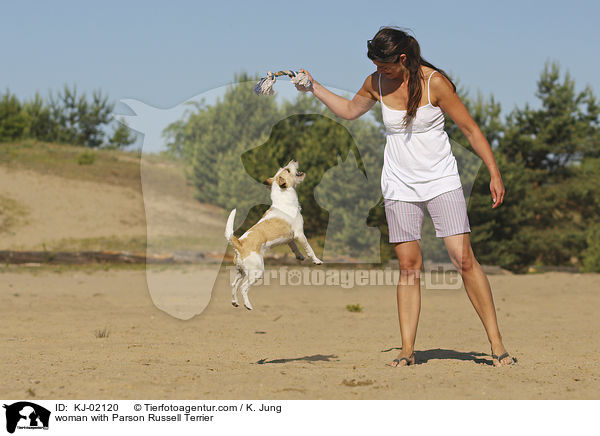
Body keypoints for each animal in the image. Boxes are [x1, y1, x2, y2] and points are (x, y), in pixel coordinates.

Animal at [224, 160, 324, 310]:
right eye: (288, 170)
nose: (293, 160)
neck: (283, 198)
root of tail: (239, 244)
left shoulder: (290, 238)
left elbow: (295, 247)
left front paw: (299, 256)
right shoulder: (300, 234)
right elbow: (309, 249)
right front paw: (316, 260)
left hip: (241, 271)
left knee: (234, 285)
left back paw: (235, 302)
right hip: (256, 272)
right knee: (243, 287)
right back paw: (248, 305)